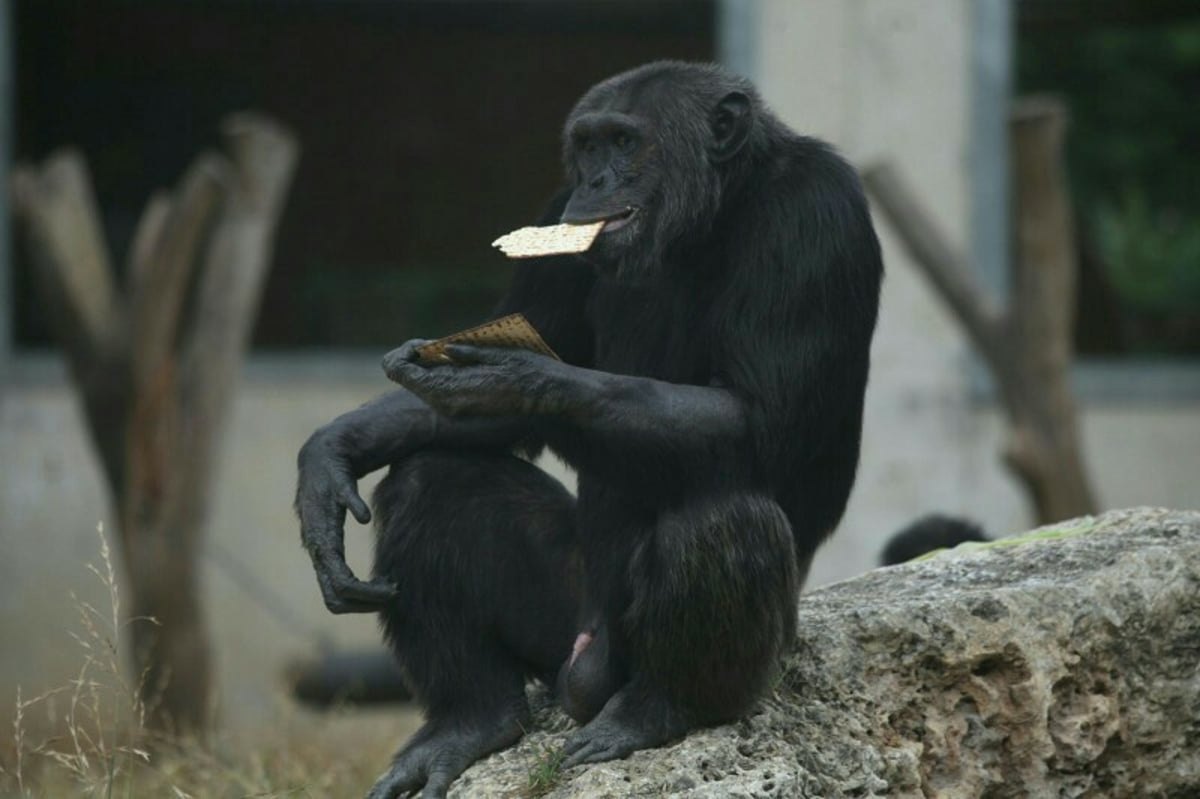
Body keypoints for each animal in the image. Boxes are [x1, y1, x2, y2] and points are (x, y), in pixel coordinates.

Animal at [294, 62, 883, 796]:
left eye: (625, 142)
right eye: (589, 144)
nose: (597, 181)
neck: (713, 209)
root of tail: (583, 675)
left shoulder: (816, 215)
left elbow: (761, 416)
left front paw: (512, 376)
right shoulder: (554, 215)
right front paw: (330, 457)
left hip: (722, 658)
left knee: (719, 517)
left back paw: (657, 711)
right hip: (561, 630)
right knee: (432, 479)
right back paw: (470, 719)